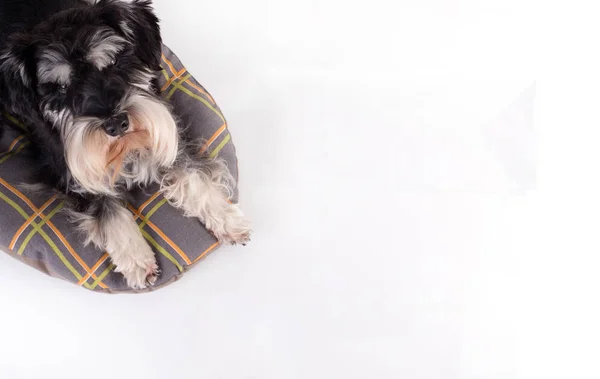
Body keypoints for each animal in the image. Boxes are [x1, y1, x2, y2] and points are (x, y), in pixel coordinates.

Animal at [0, 0, 252, 290]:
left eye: (112, 62)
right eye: (60, 88)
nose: (116, 124)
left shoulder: (169, 136)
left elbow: (192, 176)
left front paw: (227, 218)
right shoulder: (73, 175)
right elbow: (109, 210)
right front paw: (136, 259)